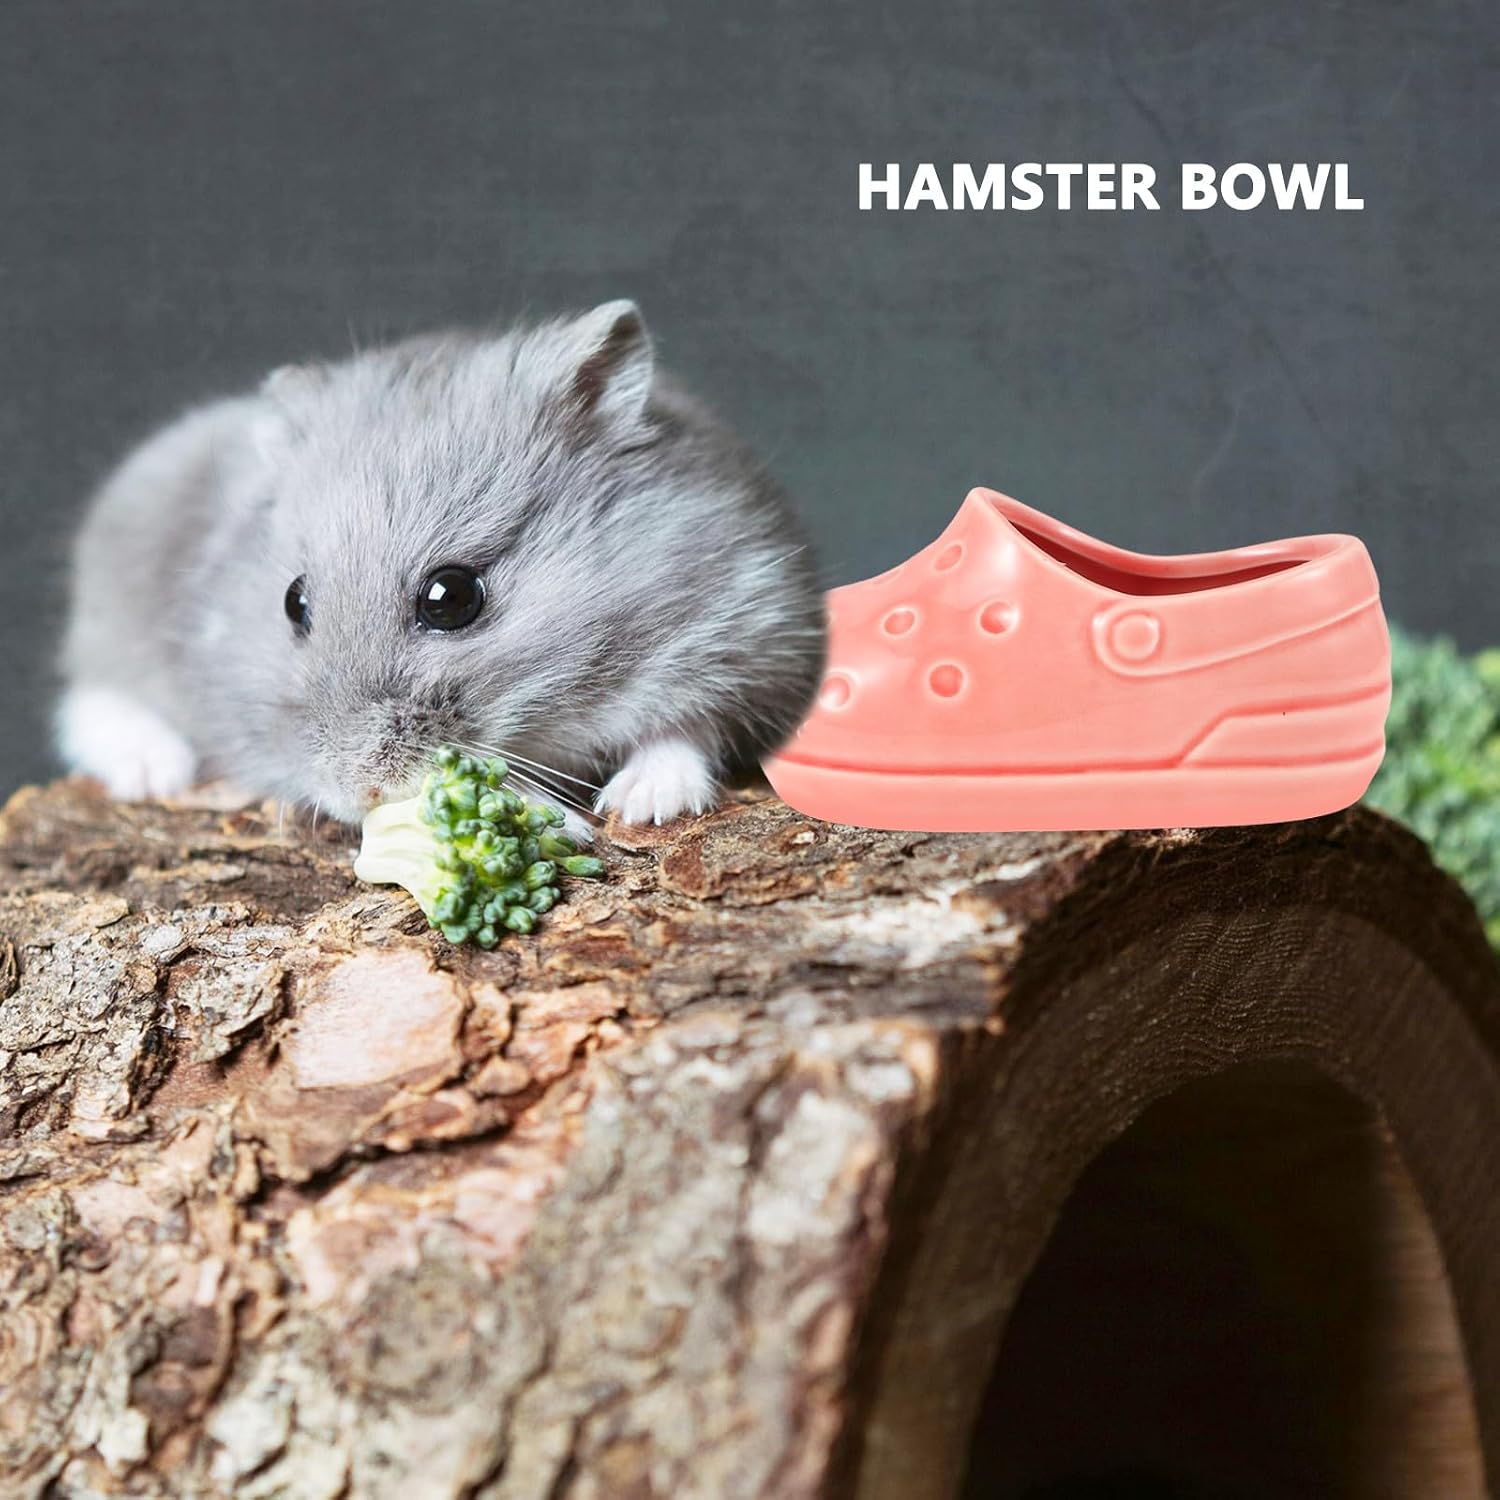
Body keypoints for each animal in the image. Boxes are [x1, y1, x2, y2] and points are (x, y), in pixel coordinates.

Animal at [57, 301, 826, 828]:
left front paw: (640, 806)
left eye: (451, 597)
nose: (358, 794)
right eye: (292, 603)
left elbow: (686, 729)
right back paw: (153, 771)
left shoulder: (750, 625)